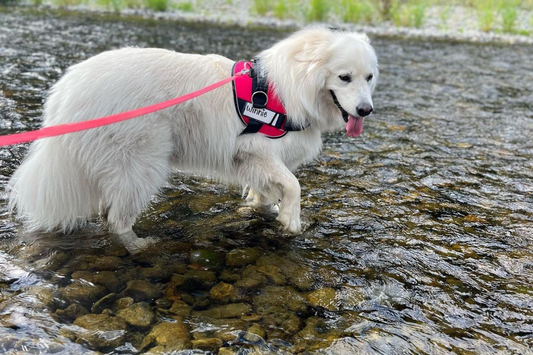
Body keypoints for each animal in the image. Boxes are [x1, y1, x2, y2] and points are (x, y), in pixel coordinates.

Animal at [6, 26, 376, 243]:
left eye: (369, 77)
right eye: (344, 77)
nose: (365, 110)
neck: (291, 90)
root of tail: (66, 92)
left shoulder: (253, 162)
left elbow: (266, 193)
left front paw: (262, 211)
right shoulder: (256, 149)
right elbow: (294, 185)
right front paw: (291, 220)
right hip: (141, 166)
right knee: (118, 220)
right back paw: (139, 245)